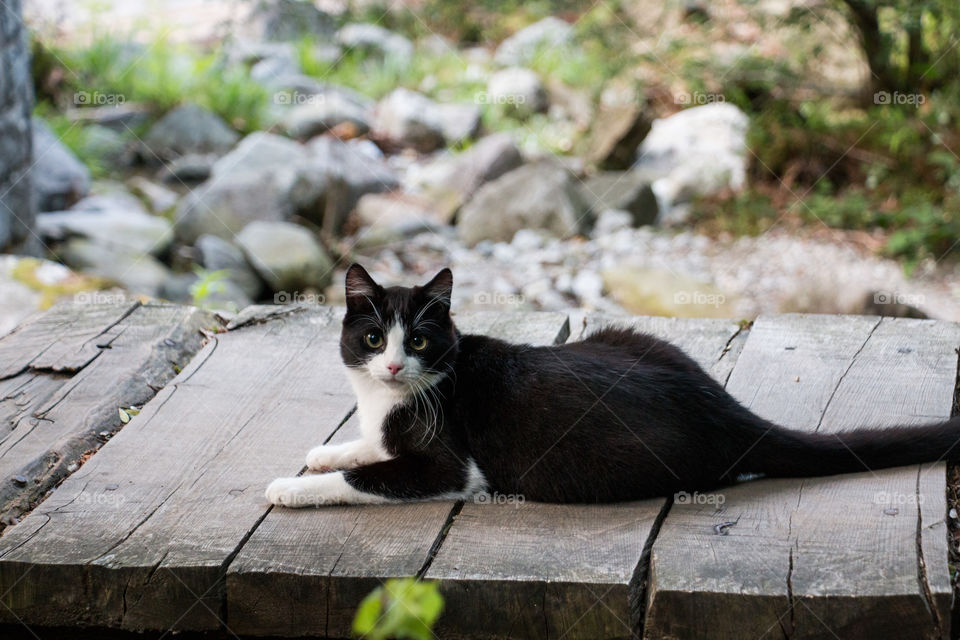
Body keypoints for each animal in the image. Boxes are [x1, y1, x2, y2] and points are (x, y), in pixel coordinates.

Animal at [266, 262, 960, 508]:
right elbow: (369, 447)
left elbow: (370, 477)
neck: (386, 399)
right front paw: (326, 449)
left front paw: (289, 487)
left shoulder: (450, 466)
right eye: (373, 339)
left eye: (419, 343)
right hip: (633, 335)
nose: (391, 367)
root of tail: (729, 411)